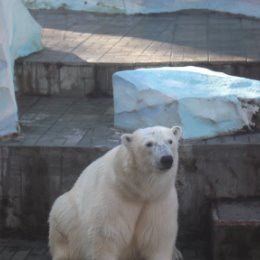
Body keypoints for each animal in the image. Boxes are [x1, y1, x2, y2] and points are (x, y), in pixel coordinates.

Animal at [48, 126, 183, 260]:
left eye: (170, 141)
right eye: (149, 144)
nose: (166, 159)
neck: (137, 190)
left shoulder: (158, 199)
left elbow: (157, 236)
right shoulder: (113, 197)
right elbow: (106, 235)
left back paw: (176, 254)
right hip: (68, 215)